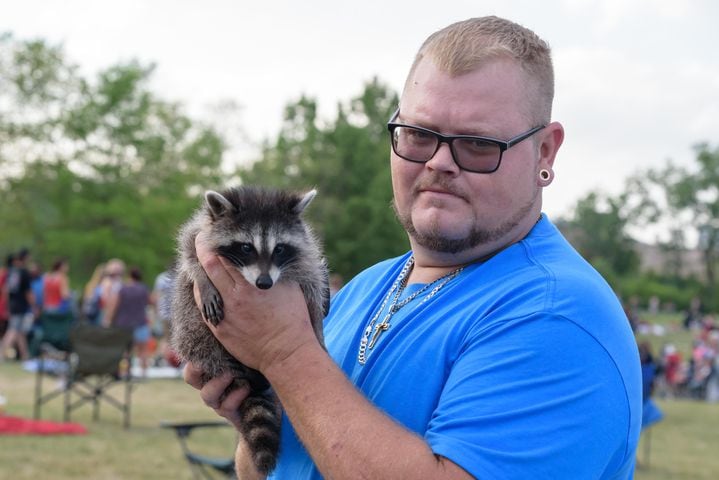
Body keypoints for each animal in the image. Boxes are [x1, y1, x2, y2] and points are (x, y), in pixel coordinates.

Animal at [172, 186, 332, 474]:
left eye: (279, 249)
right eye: (246, 247)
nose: (264, 283)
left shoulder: (304, 256)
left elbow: (313, 286)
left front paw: (317, 329)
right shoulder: (202, 230)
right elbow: (189, 250)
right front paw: (202, 277)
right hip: (191, 327)